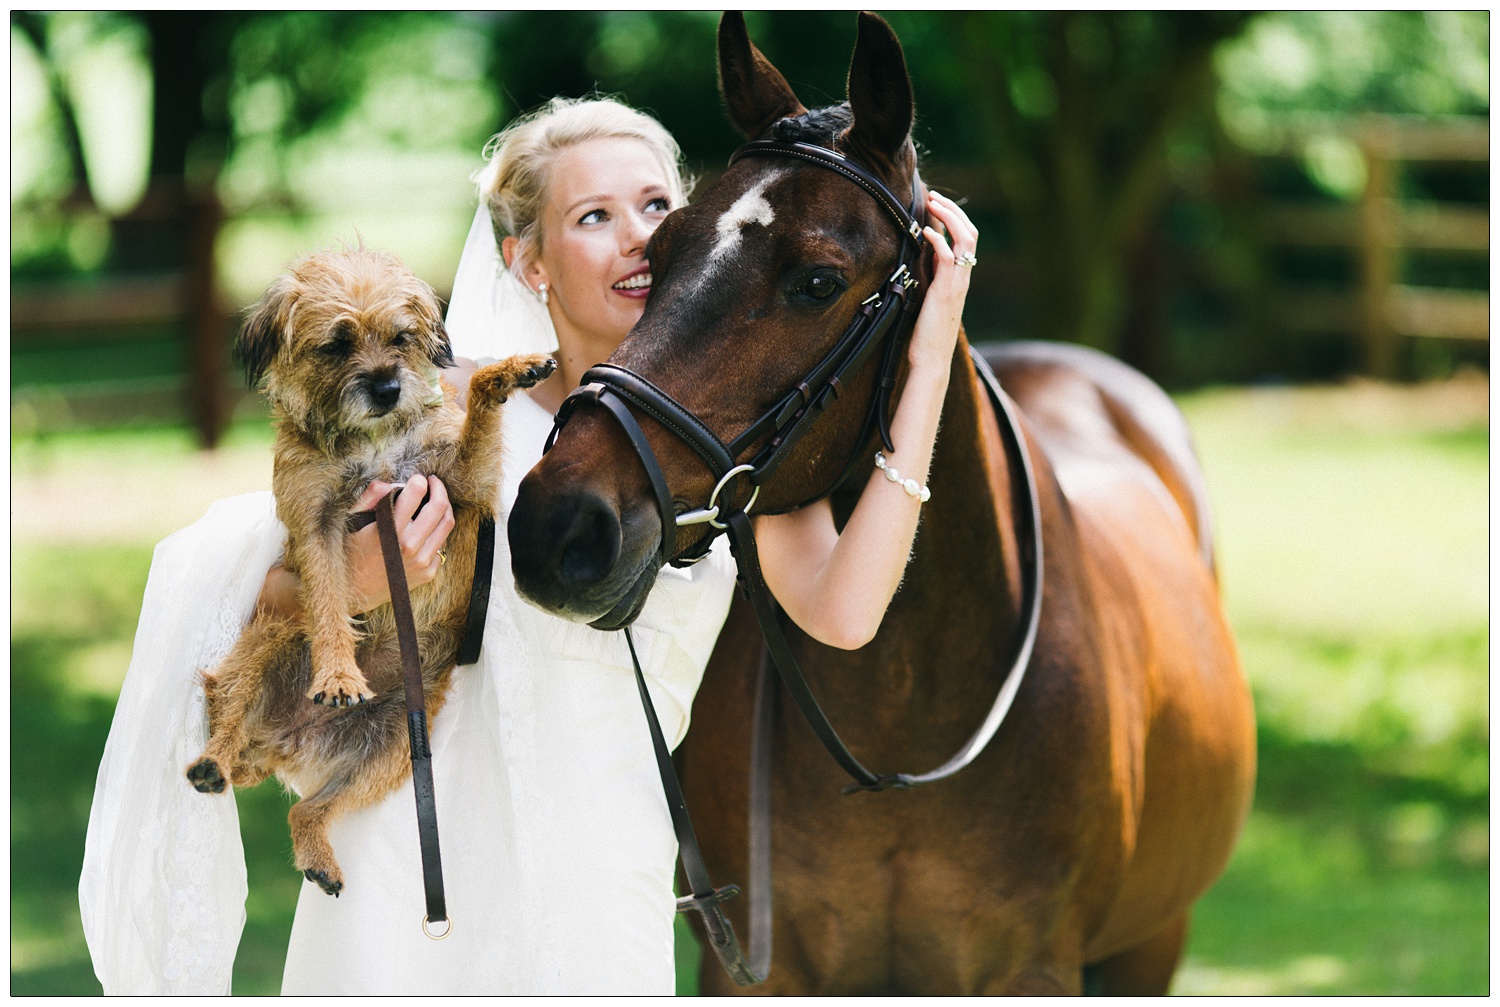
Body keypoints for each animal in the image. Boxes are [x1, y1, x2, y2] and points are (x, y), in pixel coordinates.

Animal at [185, 247, 555, 894]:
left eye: (401, 338)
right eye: (336, 345)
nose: (386, 387)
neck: (374, 441)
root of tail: (284, 742)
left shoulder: (462, 485)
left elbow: (477, 408)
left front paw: (511, 370)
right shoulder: (318, 528)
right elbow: (332, 601)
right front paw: (338, 673)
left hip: (395, 748)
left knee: (306, 810)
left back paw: (316, 853)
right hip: (267, 639)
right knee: (226, 708)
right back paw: (213, 761)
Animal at [510, 11, 1260, 996]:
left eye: (817, 282)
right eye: (655, 256)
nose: (558, 525)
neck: (907, 706)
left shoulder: (1038, 969)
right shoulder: (755, 968)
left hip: (1152, 943)